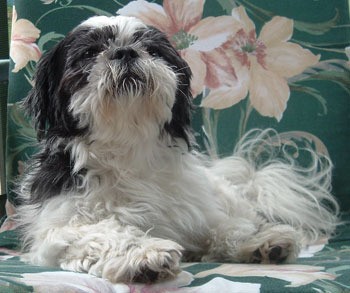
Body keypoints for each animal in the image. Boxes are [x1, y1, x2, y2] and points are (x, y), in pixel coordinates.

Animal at [16, 14, 340, 282]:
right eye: (89, 54)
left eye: (152, 50)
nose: (125, 51)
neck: (127, 147)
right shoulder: (59, 229)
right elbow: (106, 231)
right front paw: (143, 254)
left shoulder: (200, 209)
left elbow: (224, 227)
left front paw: (255, 241)